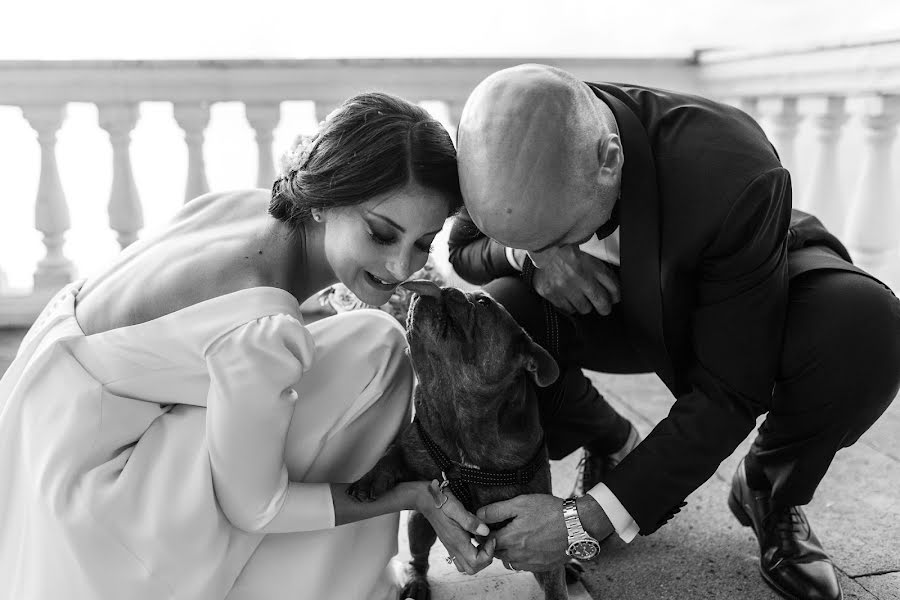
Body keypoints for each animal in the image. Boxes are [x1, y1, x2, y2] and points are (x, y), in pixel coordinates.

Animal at [346, 282, 568, 600]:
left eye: (484, 303)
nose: (444, 287)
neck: (456, 405)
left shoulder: (535, 538)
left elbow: (553, 580)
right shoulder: (411, 449)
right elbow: (391, 454)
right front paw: (369, 479)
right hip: (419, 522)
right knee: (419, 556)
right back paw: (417, 582)